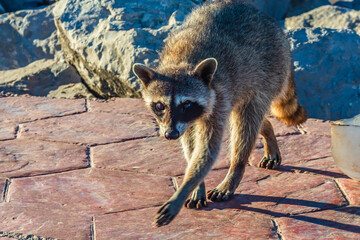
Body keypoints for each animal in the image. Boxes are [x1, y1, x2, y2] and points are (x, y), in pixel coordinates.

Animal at [132, 0, 306, 226]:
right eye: (160, 106)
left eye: (186, 104)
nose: (170, 135)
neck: (181, 63)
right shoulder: (184, 122)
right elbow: (191, 147)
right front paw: (197, 186)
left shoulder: (216, 100)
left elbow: (207, 150)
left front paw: (185, 188)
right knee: (255, 120)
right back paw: (267, 130)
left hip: (269, 72)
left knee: (246, 122)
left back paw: (235, 170)